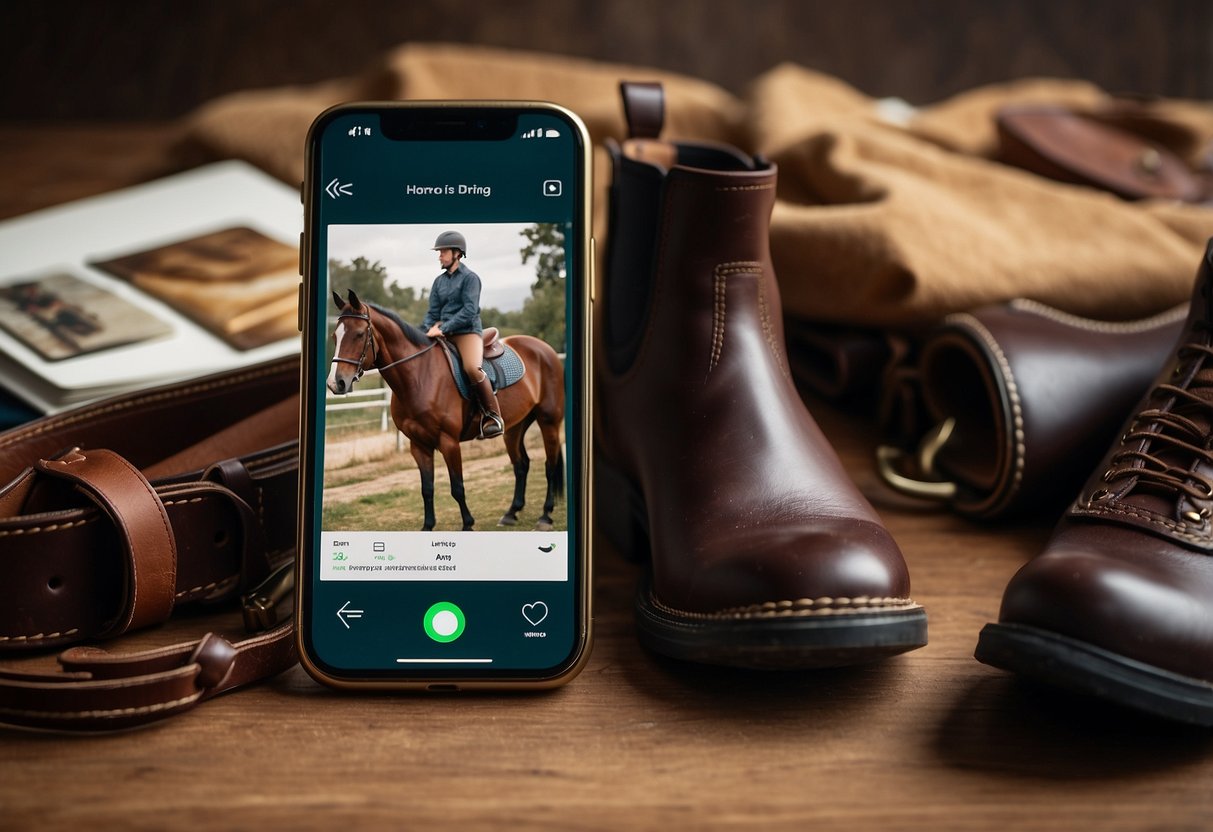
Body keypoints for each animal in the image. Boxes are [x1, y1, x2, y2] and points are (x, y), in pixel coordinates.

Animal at [325, 289, 565, 531]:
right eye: (335, 337)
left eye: (358, 334)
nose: (336, 383)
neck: (420, 377)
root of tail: (544, 348)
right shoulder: (419, 445)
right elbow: (427, 489)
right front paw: (428, 526)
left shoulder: (448, 442)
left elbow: (457, 487)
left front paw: (467, 524)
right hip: (515, 427)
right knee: (521, 465)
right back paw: (511, 512)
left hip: (548, 421)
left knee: (550, 465)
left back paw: (545, 516)